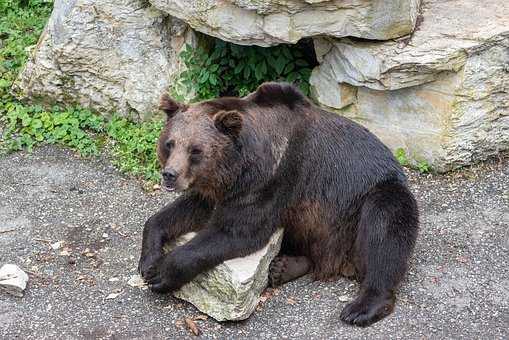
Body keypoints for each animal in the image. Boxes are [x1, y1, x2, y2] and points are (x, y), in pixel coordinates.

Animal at [139, 81, 416, 326]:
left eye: (195, 150)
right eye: (170, 143)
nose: (170, 175)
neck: (241, 165)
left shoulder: (272, 180)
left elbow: (237, 231)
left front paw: (162, 272)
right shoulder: (220, 188)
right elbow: (185, 210)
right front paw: (148, 260)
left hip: (371, 197)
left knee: (386, 227)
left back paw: (362, 307)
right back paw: (283, 267)